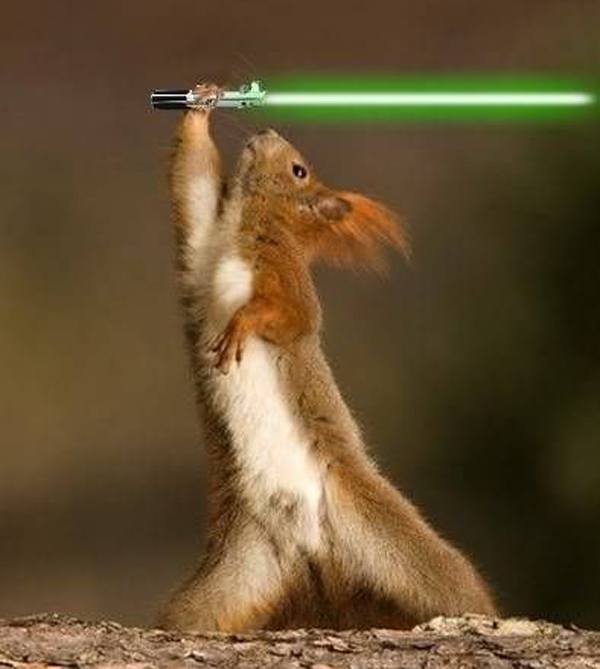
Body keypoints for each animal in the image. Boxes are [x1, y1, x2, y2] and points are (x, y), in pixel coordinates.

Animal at [158, 82, 496, 632]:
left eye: (299, 171)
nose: (265, 130)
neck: (246, 229)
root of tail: (312, 547)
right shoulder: (200, 247)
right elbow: (193, 184)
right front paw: (199, 108)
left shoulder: (289, 283)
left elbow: (288, 316)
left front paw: (242, 326)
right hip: (230, 578)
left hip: (406, 550)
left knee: (455, 591)